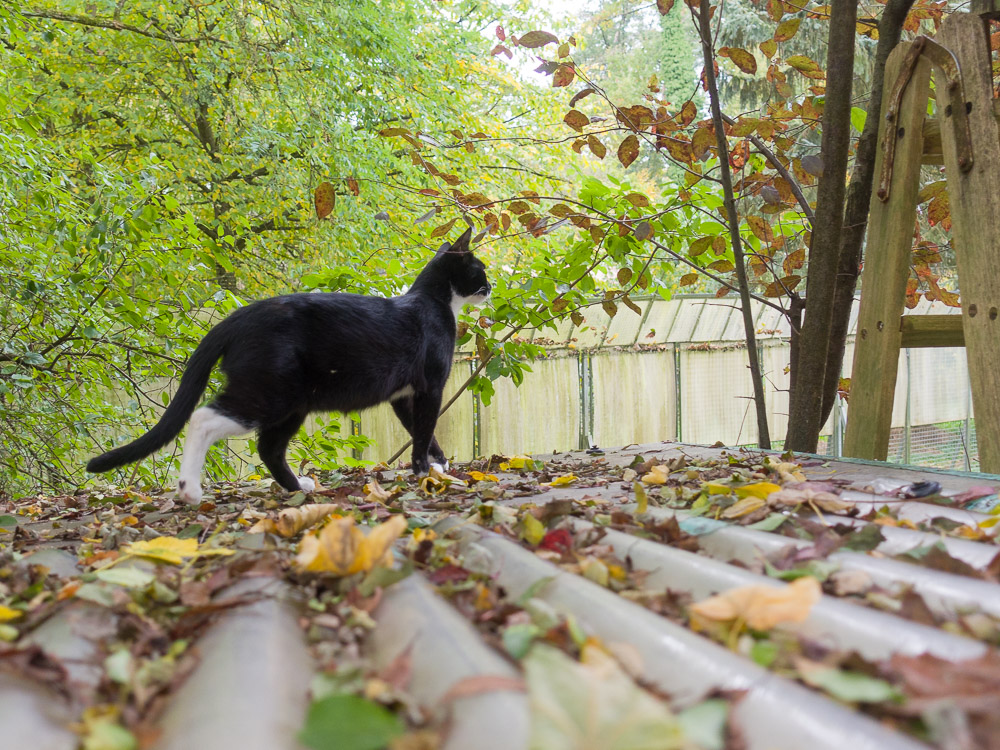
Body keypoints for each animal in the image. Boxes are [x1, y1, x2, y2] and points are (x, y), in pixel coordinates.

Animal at [88, 226, 490, 502]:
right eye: (480, 270)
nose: (490, 285)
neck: (436, 302)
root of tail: (237, 317)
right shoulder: (430, 385)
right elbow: (423, 430)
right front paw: (425, 472)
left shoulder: (402, 396)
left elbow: (421, 431)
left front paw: (438, 464)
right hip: (271, 393)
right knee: (203, 418)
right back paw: (190, 489)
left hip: (295, 403)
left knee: (269, 448)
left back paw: (298, 485)